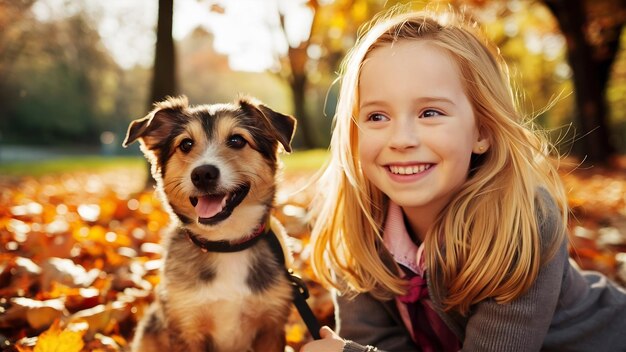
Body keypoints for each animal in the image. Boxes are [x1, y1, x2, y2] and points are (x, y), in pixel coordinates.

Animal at [123, 95, 298, 352]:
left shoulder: (271, 328)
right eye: (185, 144)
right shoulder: (188, 328)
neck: (226, 245)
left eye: (237, 140)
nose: (203, 174)